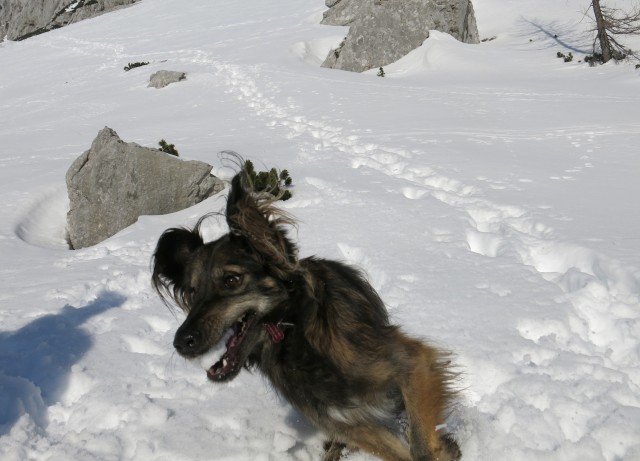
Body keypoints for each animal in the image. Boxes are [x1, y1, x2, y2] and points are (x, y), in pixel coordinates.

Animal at [152, 166, 462, 460]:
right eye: (192, 292)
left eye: (231, 280)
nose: (181, 342)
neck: (296, 334)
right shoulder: (345, 422)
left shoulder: (412, 363)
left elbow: (421, 448)